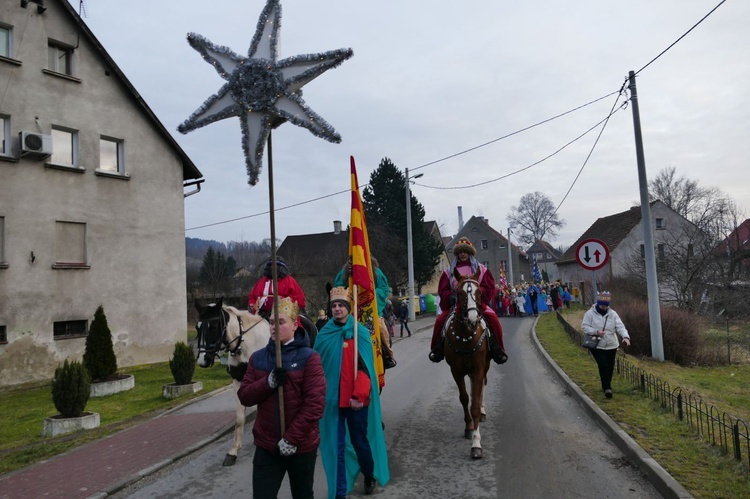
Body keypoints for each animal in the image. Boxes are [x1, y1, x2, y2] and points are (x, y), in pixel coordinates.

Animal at [195, 298, 272, 466]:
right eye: (197, 327)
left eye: (214, 326)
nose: (202, 360)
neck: (246, 346)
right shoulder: (238, 383)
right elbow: (239, 419)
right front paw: (233, 451)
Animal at [446, 270, 494, 460]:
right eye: (459, 294)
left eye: (479, 292)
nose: (473, 319)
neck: (466, 336)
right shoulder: (456, 371)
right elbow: (465, 398)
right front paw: (468, 428)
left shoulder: (479, 368)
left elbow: (474, 405)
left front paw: (476, 444)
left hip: (484, 367)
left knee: (481, 391)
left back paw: (482, 411)